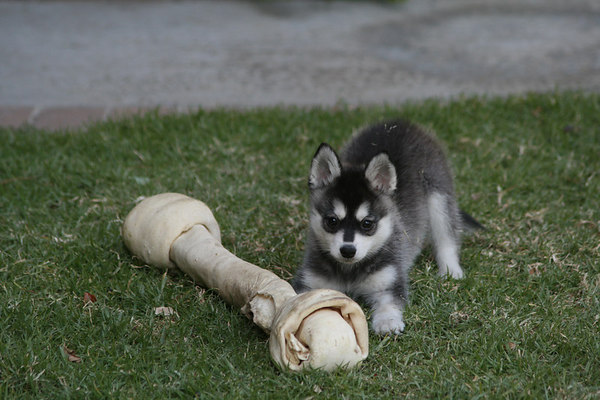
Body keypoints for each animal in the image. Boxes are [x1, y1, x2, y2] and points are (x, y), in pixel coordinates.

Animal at [290, 119, 482, 334]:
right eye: (332, 221)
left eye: (367, 223)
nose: (347, 250)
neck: (350, 272)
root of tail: (401, 123)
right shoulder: (309, 282)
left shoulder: (389, 281)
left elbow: (389, 303)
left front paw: (387, 322)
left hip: (438, 192)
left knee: (446, 236)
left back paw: (451, 270)